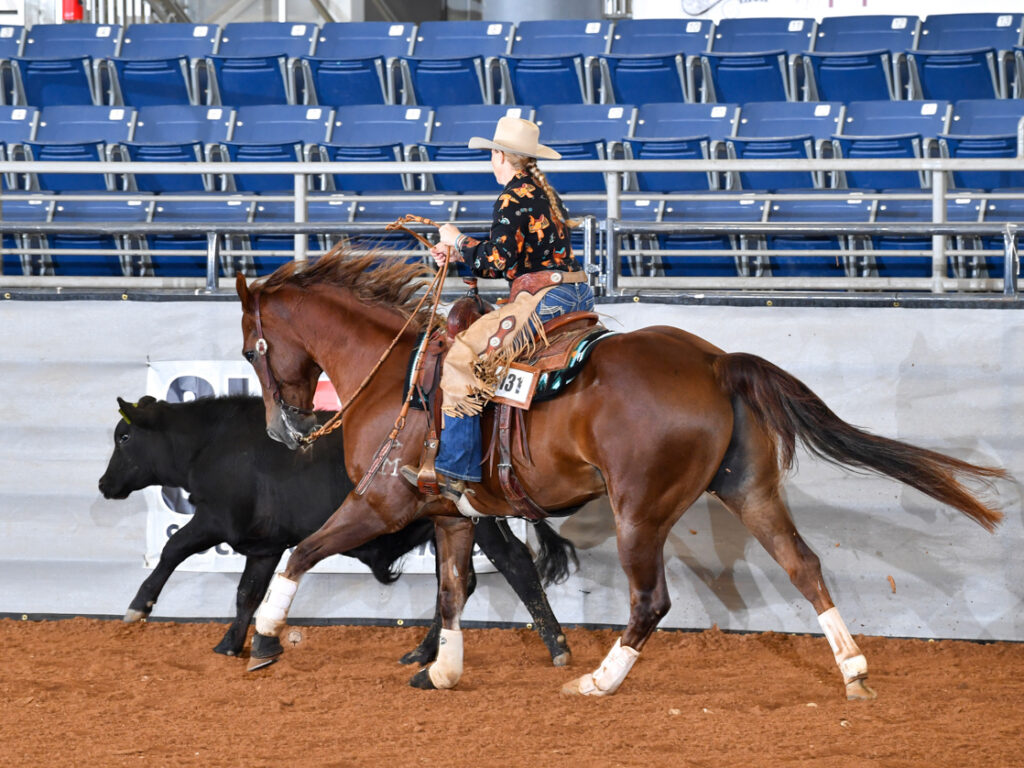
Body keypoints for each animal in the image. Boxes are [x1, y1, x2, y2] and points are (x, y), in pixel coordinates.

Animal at [235, 253, 1003, 704]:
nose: (281, 431)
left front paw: (266, 641)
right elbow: (453, 590)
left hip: (642, 511)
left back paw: (599, 680)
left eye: (250, 348)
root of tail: (714, 362)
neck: (397, 377)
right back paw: (853, 671)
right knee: (804, 565)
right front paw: (444, 669)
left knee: (651, 601)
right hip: (749, 489)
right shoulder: (453, 515)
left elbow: (303, 552)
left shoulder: (381, 502)